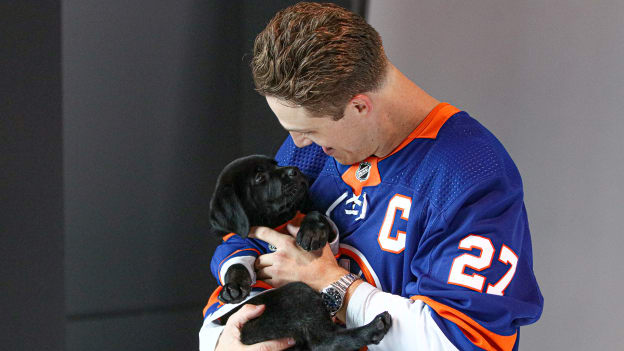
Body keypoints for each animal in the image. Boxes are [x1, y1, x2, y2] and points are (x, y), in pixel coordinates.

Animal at [207, 157, 390, 351]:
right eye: (259, 177)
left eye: (276, 163)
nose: (295, 170)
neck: (277, 222)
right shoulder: (238, 244)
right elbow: (235, 264)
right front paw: (232, 288)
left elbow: (314, 213)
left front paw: (312, 231)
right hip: (297, 291)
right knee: (324, 341)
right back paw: (374, 328)